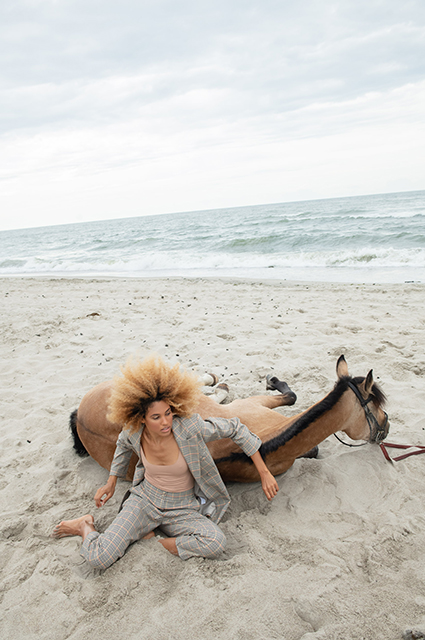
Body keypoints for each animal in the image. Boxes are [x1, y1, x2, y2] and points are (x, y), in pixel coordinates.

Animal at [68, 352, 388, 482]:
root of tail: (80, 417)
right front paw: (273, 380)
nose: (386, 427)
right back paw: (214, 380)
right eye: (376, 405)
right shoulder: (253, 404)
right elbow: (291, 397)